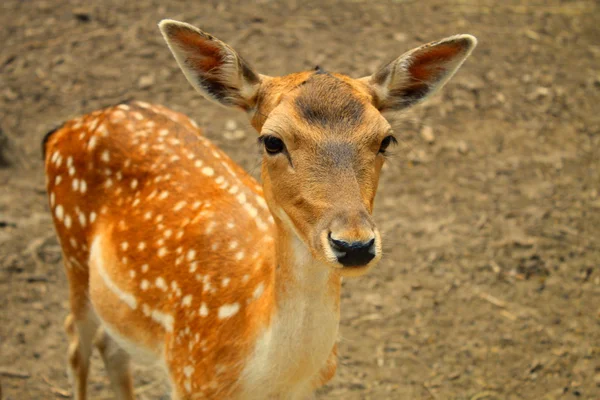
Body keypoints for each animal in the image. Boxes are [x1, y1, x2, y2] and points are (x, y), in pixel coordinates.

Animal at [42, 19, 476, 400]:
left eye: (387, 139)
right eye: (272, 141)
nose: (354, 245)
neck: (266, 376)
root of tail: (67, 127)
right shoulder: (188, 376)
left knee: (111, 345)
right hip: (73, 252)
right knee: (74, 342)